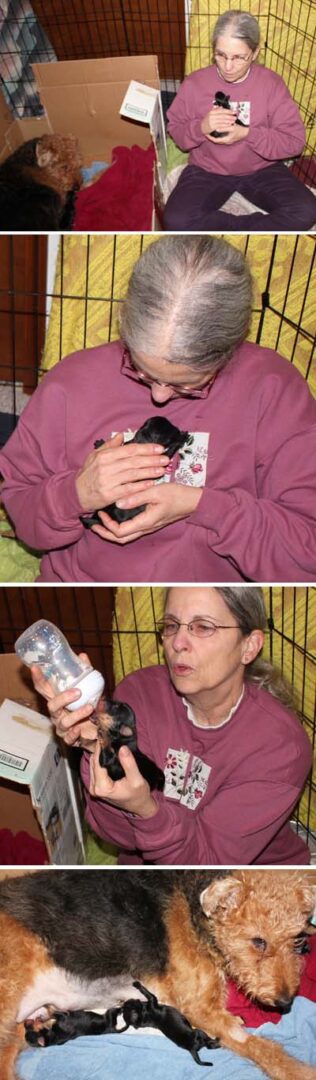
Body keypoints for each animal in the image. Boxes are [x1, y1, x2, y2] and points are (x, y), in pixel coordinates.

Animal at [25, 980, 218, 1062]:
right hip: (199, 1033)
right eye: (131, 1004)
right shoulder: (153, 1001)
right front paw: (137, 984)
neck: (145, 1015)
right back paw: (217, 1041)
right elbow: (148, 992)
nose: (126, 1001)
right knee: (208, 1042)